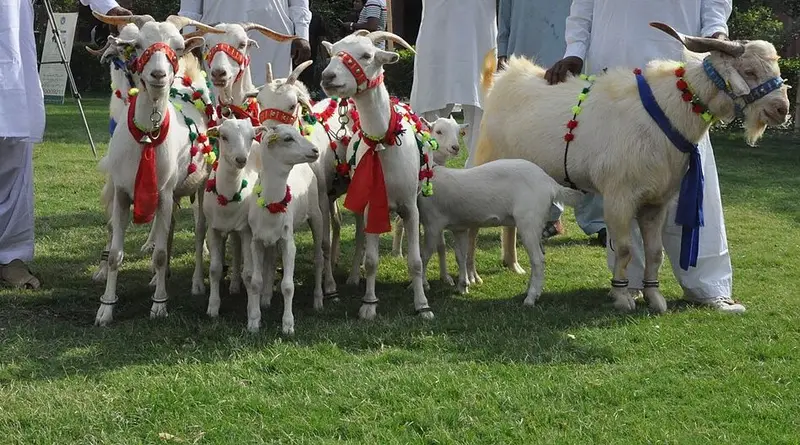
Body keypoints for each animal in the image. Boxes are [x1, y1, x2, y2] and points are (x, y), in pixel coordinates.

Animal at [91, 13, 225, 325]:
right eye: (138, 45)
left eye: (177, 47)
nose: (158, 76)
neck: (146, 137)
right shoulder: (122, 193)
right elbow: (115, 253)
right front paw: (106, 308)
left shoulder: (162, 194)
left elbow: (161, 254)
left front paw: (159, 305)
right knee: (172, 227)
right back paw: (156, 279)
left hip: (200, 186)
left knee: (198, 231)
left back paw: (196, 282)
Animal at [247, 124, 325, 334]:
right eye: (288, 138)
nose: (315, 150)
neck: (272, 203)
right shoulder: (256, 240)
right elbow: (255, 282)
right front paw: (254, 322)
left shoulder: (288, 242)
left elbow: (288, 286)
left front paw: (288, 325)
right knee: (272, 260)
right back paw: (266, 299)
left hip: (316, 215)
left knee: (319, 259)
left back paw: (318, 301)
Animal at [320, 31, 436, 320]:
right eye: (333, 53)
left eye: (366, 55)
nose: (328, 77)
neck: (383, 145)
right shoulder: (371, 204)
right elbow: (372, 260)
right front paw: (369, 304)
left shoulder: (410, 206)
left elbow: (416, 261)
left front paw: (422, 305)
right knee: (360, 236)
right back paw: (353, 277)